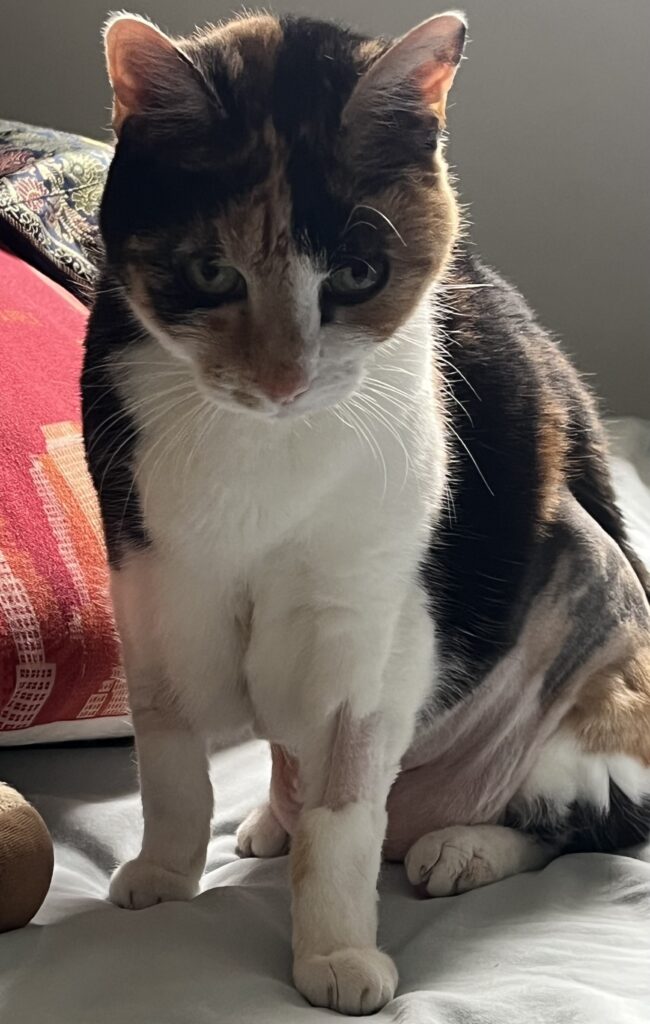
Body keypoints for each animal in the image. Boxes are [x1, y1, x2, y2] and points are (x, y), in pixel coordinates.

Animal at [81, 9, 650, 1015]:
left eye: (356, 272)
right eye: (209, 271)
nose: (283, 377)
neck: (262, 455)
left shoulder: (365, 613)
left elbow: (343, 807)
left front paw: (337, 952)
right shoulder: (152, 582)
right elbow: (172, 762)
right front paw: (165, 873)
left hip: (595, 598)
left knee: (581, 824)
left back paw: (459, 848)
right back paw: (273, 818)